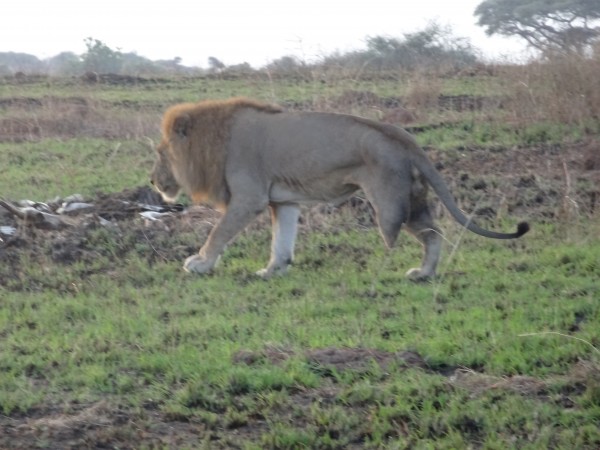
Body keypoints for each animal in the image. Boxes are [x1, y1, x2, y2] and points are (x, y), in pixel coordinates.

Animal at [151, 98, 528, 280]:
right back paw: (423, 274)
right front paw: (272, 271)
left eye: (161, 153)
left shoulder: (249, 198)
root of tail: (403, 136)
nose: (153, 181)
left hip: (390, 204)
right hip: (413, 198)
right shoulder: (281, 202)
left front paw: (199, 264)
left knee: (423, 233)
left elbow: (218, 232)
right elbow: (281, 241)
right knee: (435, 234)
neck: (213, 140)